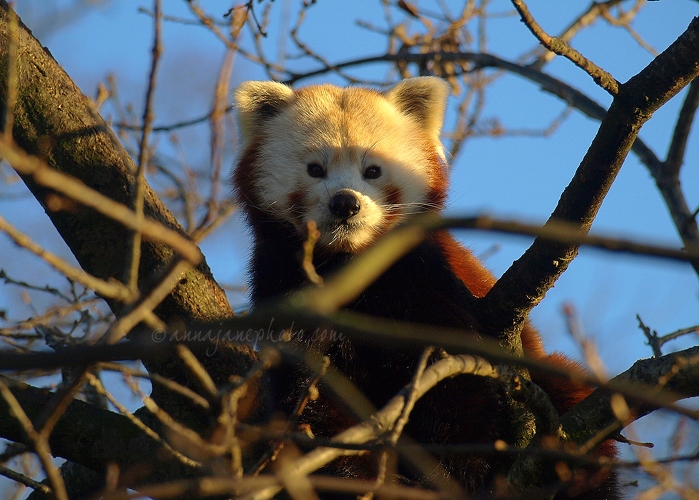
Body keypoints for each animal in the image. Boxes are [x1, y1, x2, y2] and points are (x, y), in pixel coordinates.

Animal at [234, 76, 616, 498]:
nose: (345, 203)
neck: (347, 267)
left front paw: (456, 473)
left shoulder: (427, 285)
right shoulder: (284, 289)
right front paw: (351, 475)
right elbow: (312, 401)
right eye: (315, 169)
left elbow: (456, 393)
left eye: (373, 170)